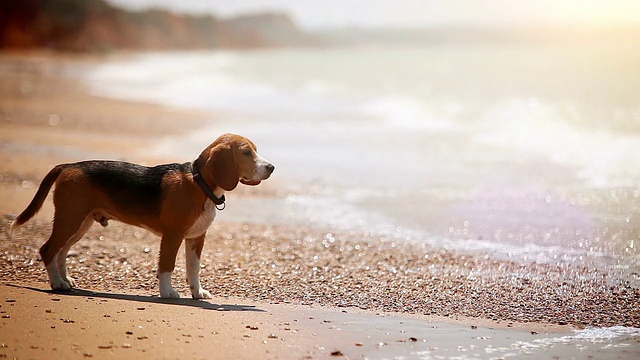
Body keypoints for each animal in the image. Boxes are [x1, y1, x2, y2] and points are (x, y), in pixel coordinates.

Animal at [10, 134, 274, 300]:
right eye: (246, 153)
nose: (271, 167)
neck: (200, 185)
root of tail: (68, 165)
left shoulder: (196, 239)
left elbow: (194, 269)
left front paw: (197, 293)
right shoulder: (172, 236)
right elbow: (167, 266)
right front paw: (167, 293)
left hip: (80, 223)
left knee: (62, 251)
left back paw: (65, 280)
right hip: (70, 218)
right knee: (48, 249)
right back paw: (56, 284)